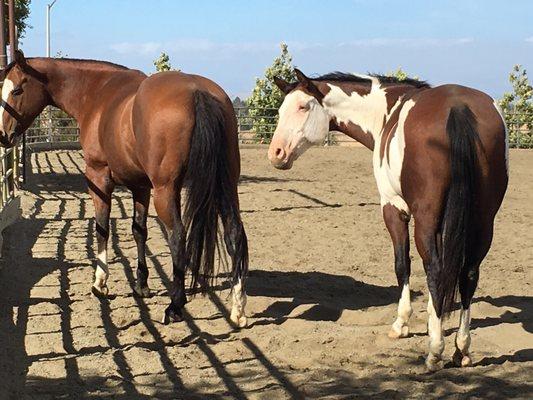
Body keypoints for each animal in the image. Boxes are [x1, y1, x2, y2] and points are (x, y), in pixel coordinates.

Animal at [0, 50, 249, 326]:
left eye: (17, 90)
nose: (3, 135)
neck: (97, 93)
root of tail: (197, 91)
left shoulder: (98, 178)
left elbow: (102, 228)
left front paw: (100, 283)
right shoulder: (141, 187)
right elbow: (139, 231)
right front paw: (141, 284)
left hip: (167, 190)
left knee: (177, 236)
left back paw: (175, 305)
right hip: (225, 186)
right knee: (234, 234)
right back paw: (238, 308)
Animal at [270, 69, 508, 372]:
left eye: (303, 106)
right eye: (280, 110)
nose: (276, 153)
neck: (386, 112)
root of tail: (458, 106)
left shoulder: (394, 209)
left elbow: (402, 264)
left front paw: (402, 324)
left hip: (427, 218)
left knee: (434, 269)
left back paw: (435, 351)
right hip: (484, 221)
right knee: (468, 273)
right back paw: (461, 349)